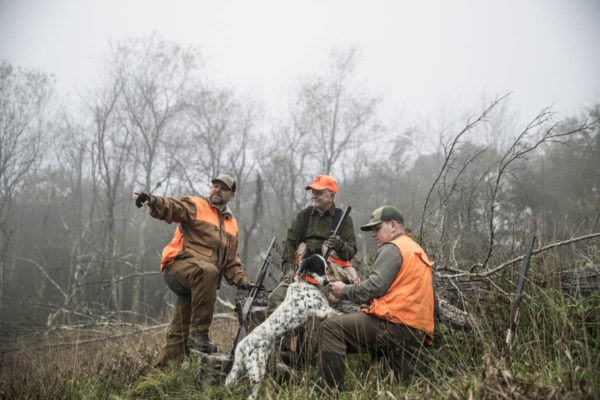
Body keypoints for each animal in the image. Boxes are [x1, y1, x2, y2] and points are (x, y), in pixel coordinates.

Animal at [225, 255, 340, 398]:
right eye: (319, 267)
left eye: (325, 267)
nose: (327, 282)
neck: (307, 283)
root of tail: (242, 345)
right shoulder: (323, 309)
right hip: (257, 372)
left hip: (238, 369)